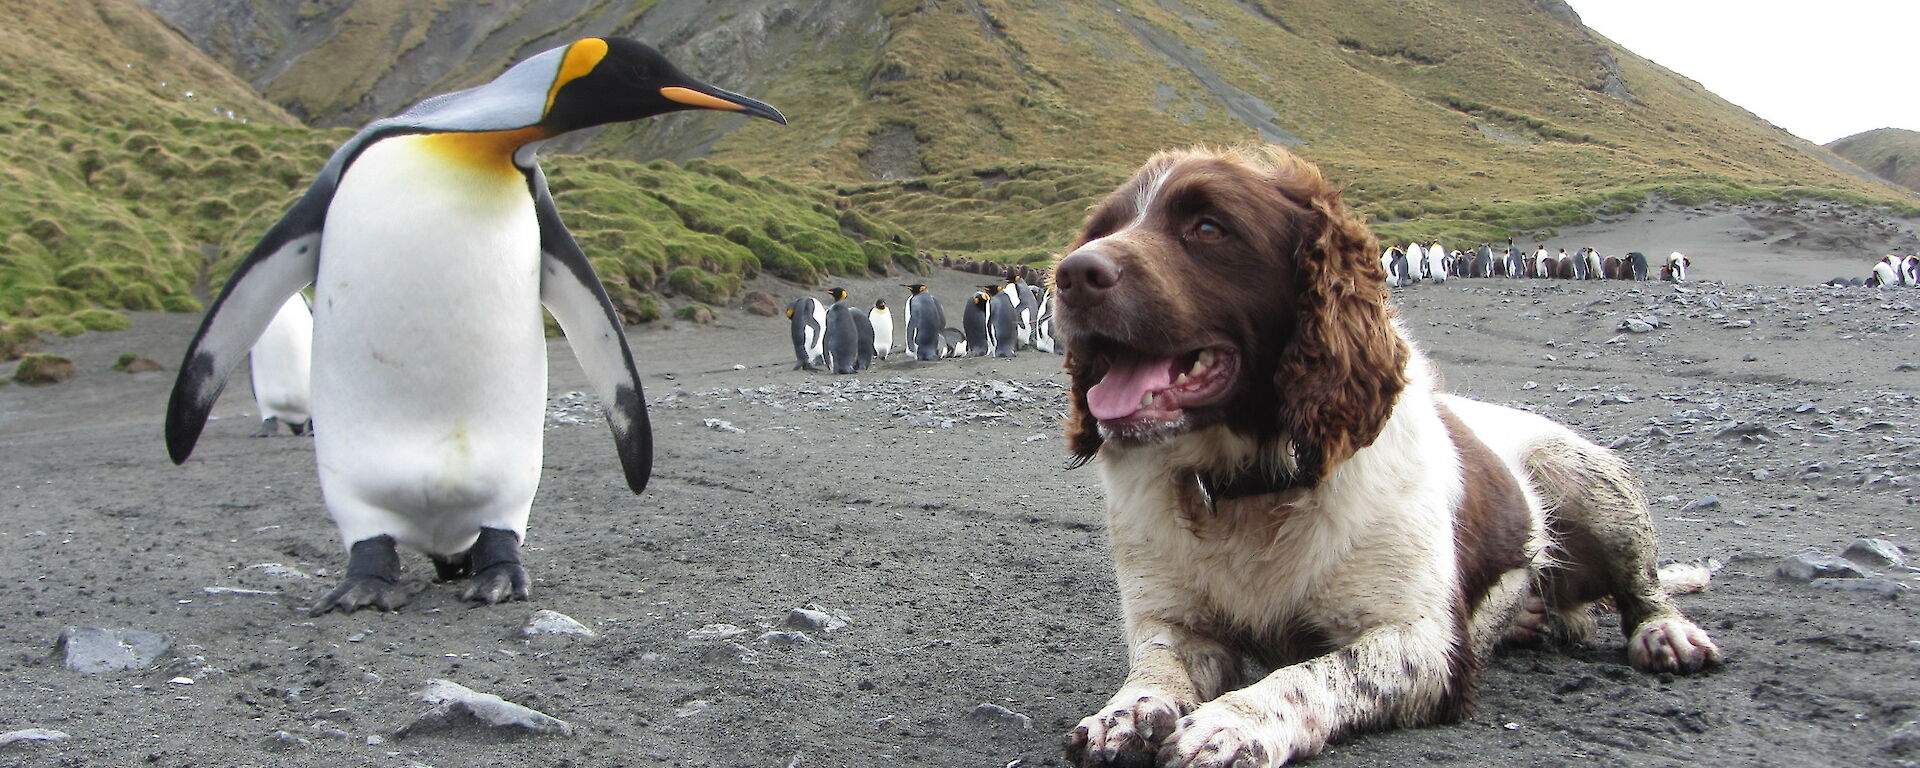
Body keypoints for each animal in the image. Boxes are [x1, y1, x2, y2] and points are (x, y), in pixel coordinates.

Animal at [1052, 145, 1728, 768]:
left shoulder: (1425, 644)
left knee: (1642, 584)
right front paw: (1126, 713)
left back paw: (1665, 632)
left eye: (1209, 227)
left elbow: (1309, 675)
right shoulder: (1174, 619)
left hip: (1581, 474)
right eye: (1102, 229)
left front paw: (1234, 722)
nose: (1071, 274)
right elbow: (1157, 665)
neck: (1254, 486)